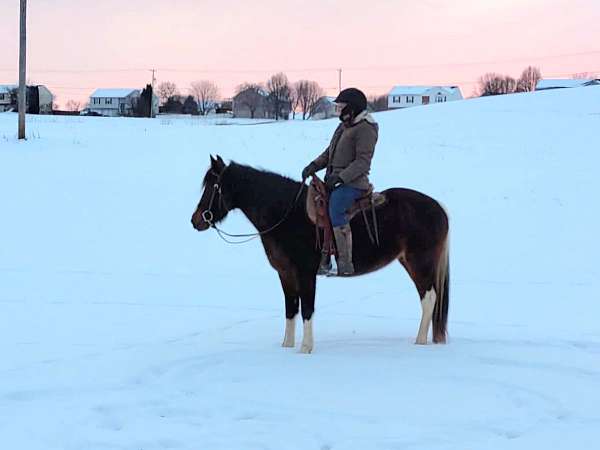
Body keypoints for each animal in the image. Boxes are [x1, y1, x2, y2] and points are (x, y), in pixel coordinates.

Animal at [190, 156, 448, 354]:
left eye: (214, 187)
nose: (196, 220)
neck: (285, 214)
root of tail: (439, 208)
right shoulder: (285, 274)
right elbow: (290, 308)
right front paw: (286, 346)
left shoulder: (306, 274)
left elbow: (307, 309)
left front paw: (305, 348)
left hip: (420, 263)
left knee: (429, 298)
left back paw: (419, 342)